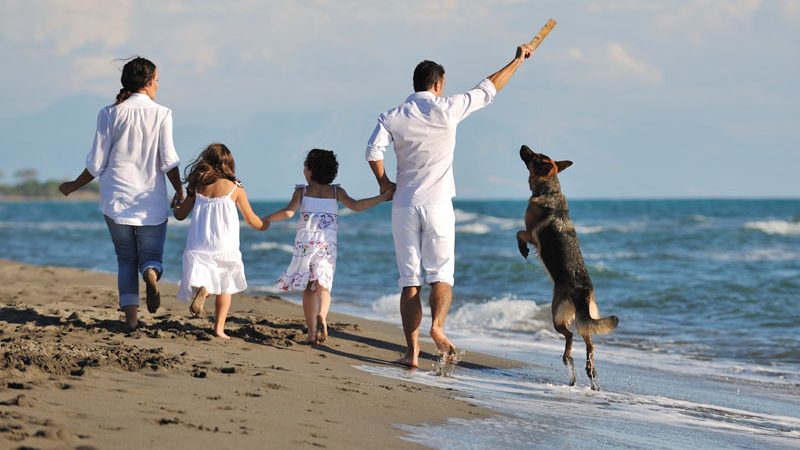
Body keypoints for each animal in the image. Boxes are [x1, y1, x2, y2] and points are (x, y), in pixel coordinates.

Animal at [516, 145, 620, 390]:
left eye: (533, 156)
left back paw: (568, 359)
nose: (523, 146)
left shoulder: (531, 233)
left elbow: (518, 233)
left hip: (557, 314)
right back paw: (589, 369)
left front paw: (522, 249)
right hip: (584, 317)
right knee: (589, 340)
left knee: (571, 335)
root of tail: (583, 292)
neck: (550, 189)